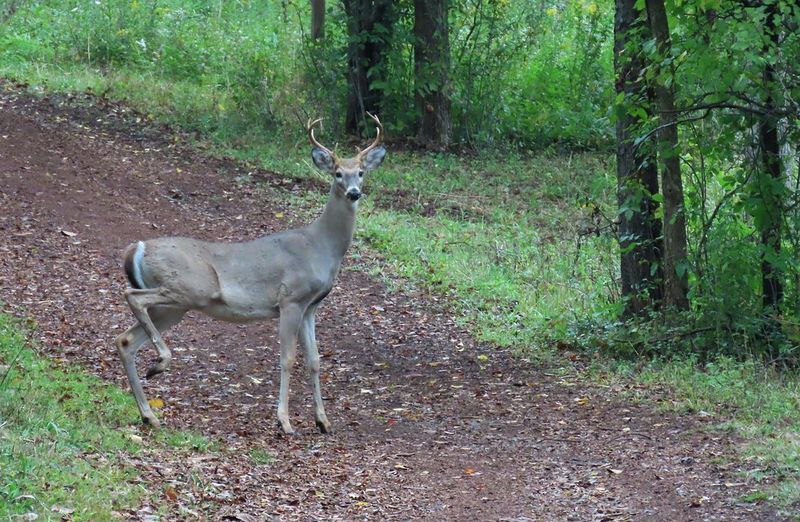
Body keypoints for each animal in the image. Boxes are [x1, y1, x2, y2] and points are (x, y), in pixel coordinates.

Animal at [114, 113, 386, 434]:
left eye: (361, 172)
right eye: (337, 174)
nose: (354, 193)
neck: (321, 246)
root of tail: (137, 247)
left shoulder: (311, 306)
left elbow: (315, 360)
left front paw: (323, 421)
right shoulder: (291, 299)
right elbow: (288, 358)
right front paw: (284, 421)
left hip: (174, 307)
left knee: (126, 340)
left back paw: (149, 413)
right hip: (189, 288)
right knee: (132, 296)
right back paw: (161, 363)